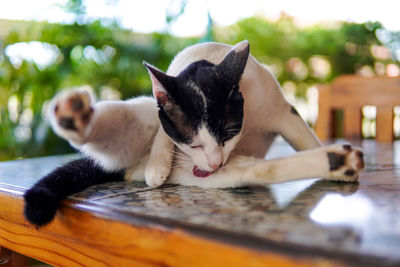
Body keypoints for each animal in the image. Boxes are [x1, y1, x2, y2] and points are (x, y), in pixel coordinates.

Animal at [23, 41, 364, 226]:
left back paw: (338, 163)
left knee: (265, 169)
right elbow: (164, 130)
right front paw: (159, 163)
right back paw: (75, 116)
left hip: (231, 174)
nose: (214, 163)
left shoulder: (282, 113)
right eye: (194, 143)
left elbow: (304, 137)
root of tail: (129, 170)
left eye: (227, 134)